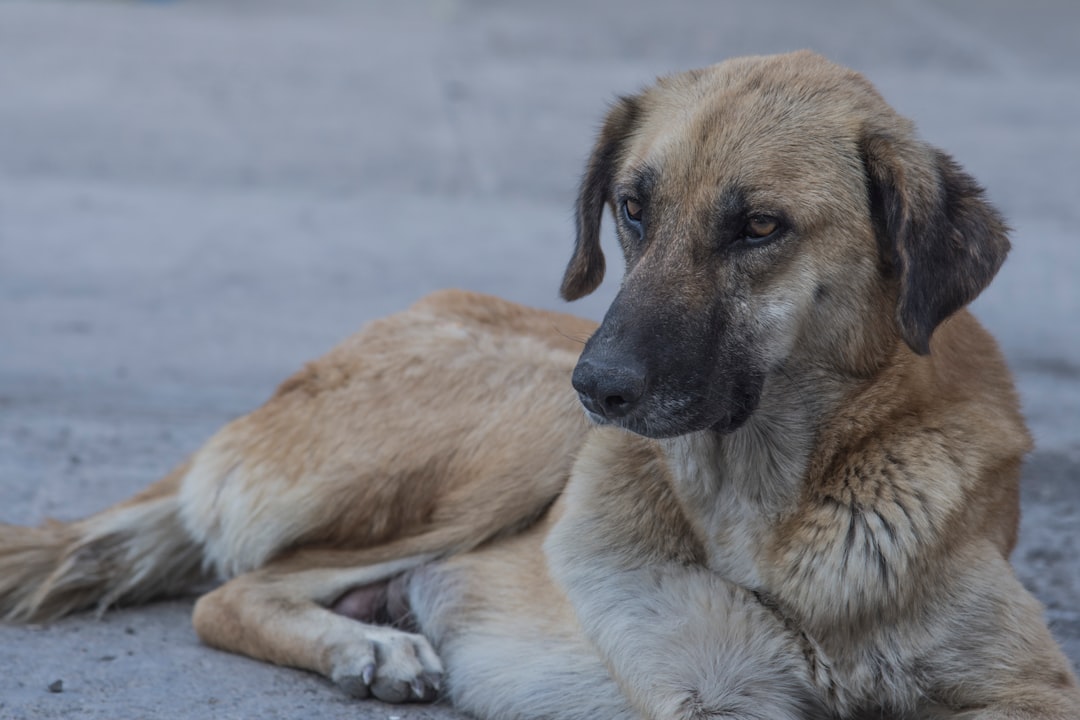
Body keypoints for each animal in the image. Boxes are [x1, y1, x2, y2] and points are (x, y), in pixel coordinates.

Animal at [2, 47, 1080, 716]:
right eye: (632, 208)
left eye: (761, 227)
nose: (597, 388)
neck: (773, 510)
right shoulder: (710, 691)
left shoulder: (1031, 689)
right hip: (522, 431)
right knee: (232, 591)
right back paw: (369, 649)